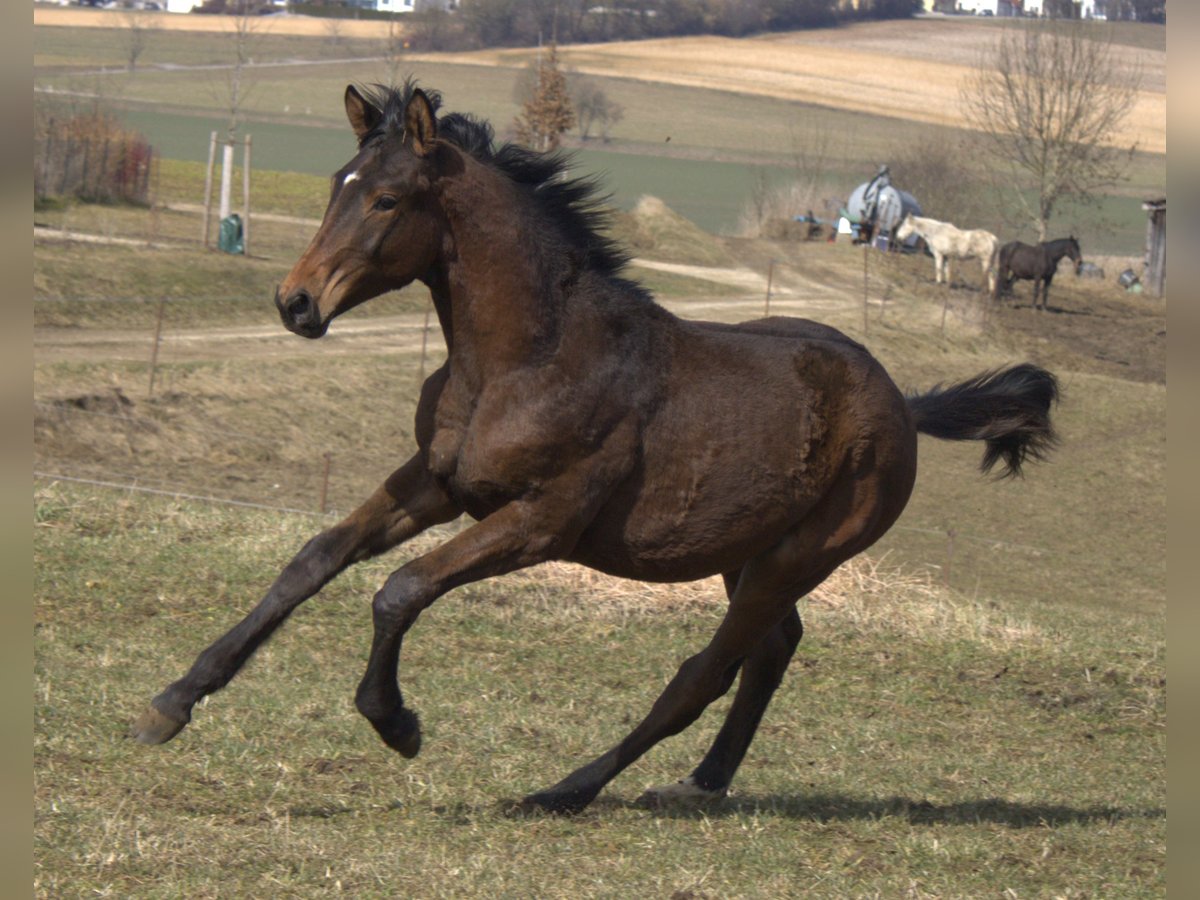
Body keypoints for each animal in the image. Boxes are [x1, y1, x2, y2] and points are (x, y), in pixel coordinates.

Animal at [126, 84, 1056, 816]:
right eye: (335, 188)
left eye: (387, 200)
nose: (295, 304)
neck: (525, 357)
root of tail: (901, 401)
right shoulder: (436, 482)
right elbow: (314, 560)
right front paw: (172, 702)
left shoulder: (542, 521)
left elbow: (400, 590)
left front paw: (398, 725)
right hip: (746, 549)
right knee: (771, 651)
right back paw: (702, 781)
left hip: (804, 553)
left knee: (705, 671)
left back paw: (567, 789)